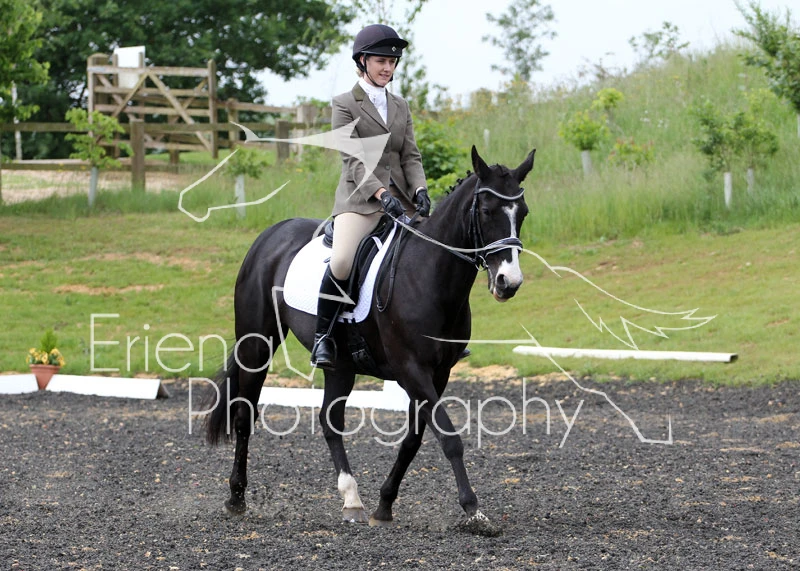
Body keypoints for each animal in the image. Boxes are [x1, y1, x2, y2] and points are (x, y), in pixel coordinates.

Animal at [204, 145, 535, 536]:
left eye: (522, 213)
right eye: (486, 211)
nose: (508, 282)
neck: (429, 274)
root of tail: (271, 235)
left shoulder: (438, 374)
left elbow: (413, 440)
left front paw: (384, 504)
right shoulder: (411, 370)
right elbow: (449, 437)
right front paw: (474, 511)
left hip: (339, 364)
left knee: (330, 421)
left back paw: (352, 499)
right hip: (257, 343)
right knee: (244, 414)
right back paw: (237, 498)